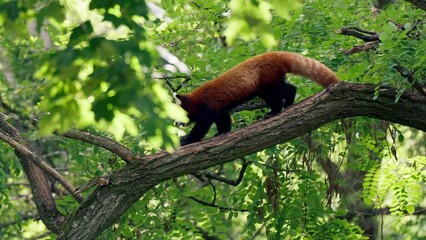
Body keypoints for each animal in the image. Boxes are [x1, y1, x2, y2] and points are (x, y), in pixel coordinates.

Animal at [173, 51, 340, 145]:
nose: (175, 123)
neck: (195, 99)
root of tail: (276, 54)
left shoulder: (209, 105)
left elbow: (202, 125)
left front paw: (187, 140)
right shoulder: (220, 107)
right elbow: (224, 118)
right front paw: (222, 132)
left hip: (266, 80)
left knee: (274, 96)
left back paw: (274, 111)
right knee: (288, 88)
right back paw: (289, 102)